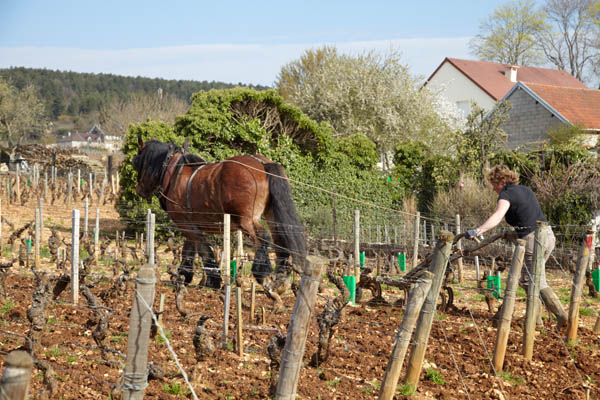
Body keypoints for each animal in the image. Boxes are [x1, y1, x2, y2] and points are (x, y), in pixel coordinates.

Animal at [134, 137, 308, 288]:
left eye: (137, 163)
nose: (139, 190)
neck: (173, 174)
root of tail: (263, 164)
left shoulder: (185, 225)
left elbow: (204, 250)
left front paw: (212, 280)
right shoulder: (189, 224)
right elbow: (189, 250)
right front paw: (184, 276)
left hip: (245, 219)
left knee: (262, 236)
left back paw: (262, 273)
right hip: (270, 213)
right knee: (280, 238)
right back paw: (280, 278)